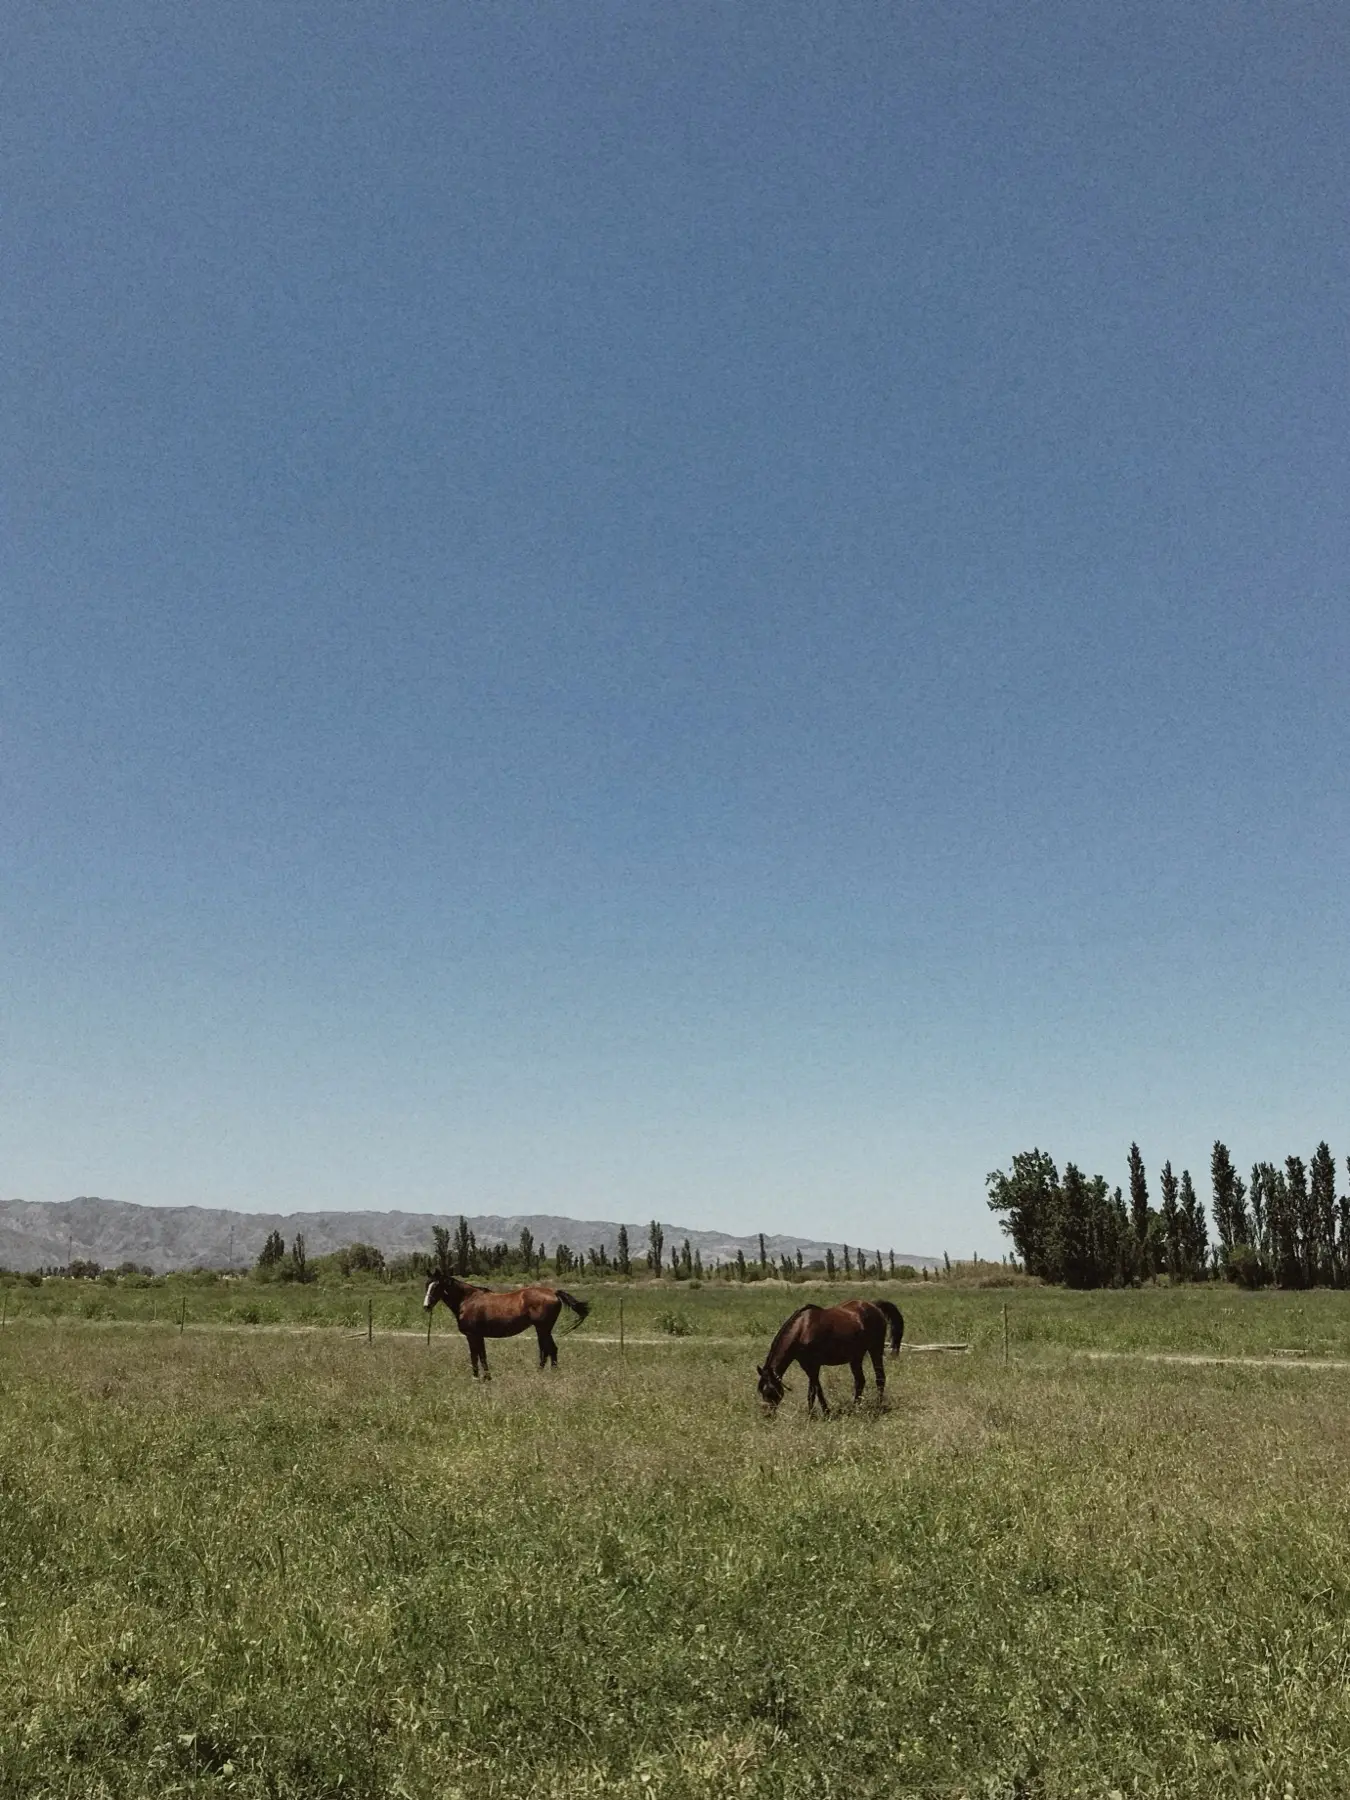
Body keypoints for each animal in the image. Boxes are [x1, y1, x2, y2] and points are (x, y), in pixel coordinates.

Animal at [422, 1272, 590, 1378]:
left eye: (436, 1286)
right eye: (427, 1284)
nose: (426, 1306)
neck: (468, 1300)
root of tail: (553, 1292)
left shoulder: (472, 1336)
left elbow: (474, 1356)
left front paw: (476, 1378)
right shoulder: (479, 1336)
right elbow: (482, 1356)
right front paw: (487, 1378)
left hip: (543, 1329)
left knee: (550, 1350)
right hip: (542, 1330)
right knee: (546, 1350)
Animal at [756, 1299, 904, 1415]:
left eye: (770, 1391)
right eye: (761, 1391)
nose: (767, 1415)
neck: (802, 1329)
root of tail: (875, 1305)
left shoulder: (814, 1366)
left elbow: (815, 1390)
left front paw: (820, 1413)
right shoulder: (807, 1366)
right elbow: (814, 1391)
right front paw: (816, 1413)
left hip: (875, 1349)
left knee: (880, 1378)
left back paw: (877, 1405)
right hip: (856, 1357)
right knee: (860, 1381)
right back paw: (855, 1407)